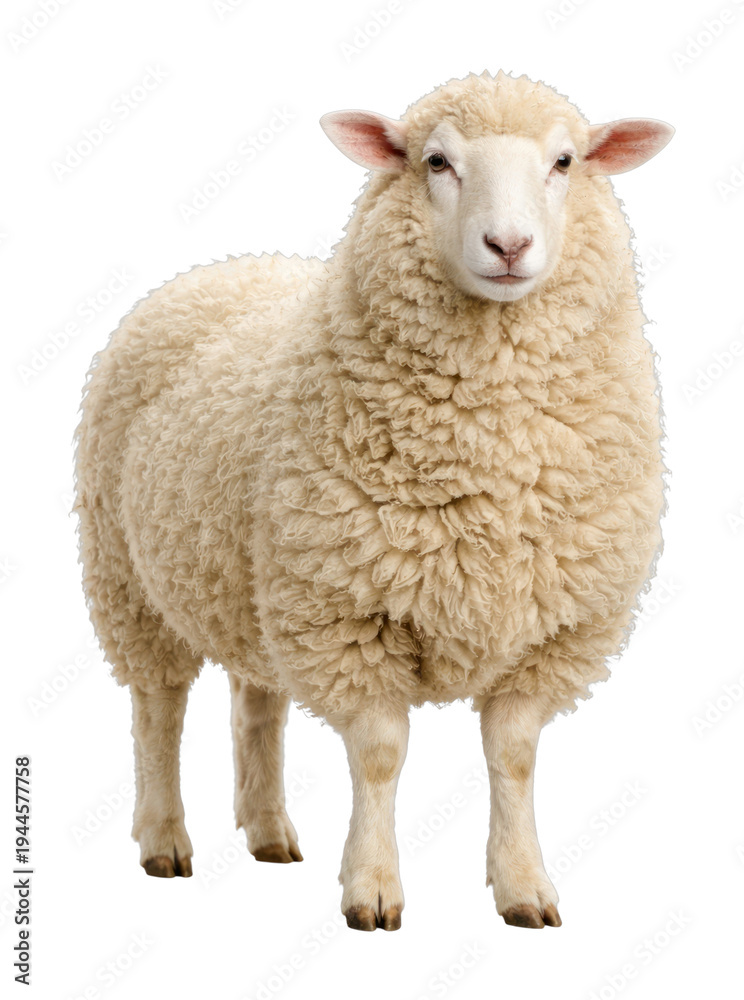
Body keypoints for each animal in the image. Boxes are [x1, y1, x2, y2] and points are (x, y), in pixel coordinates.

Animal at [74, 70, 674, 931]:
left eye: (565, 161)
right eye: (436, 162)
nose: (509, 247)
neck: (493, 461)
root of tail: (224, 266)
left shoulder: (550, 629)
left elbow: (514, 755)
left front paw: (524, 886)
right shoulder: (347, 612)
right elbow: (383, 756)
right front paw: (373, 889)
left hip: (256, 585)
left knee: (257, 707)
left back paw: (268, 832)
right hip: (129, 580)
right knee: (159, 708)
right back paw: (163, 839)